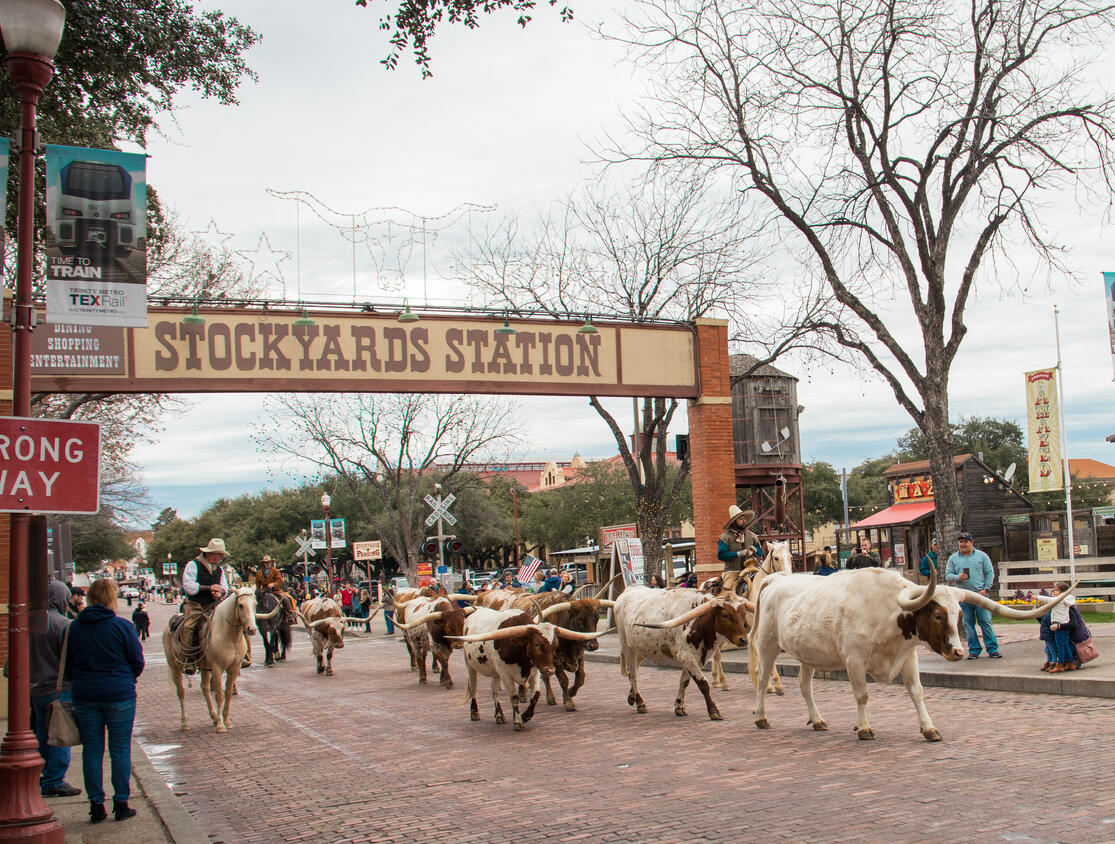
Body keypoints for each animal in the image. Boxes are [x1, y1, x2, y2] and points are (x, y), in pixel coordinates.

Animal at [162, 584, 280, 731]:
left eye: (255, 604)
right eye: (240, 605)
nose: (252, 629)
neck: (229, 636)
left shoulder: (234, 668)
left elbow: (228, 692)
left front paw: (226, 721)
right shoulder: (217, 668)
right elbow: (219, 695)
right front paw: (220, 725)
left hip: (204, 666)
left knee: (205, 687)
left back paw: (213, 716)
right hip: (175, 666)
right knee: (181, 691)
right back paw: (185, 723)